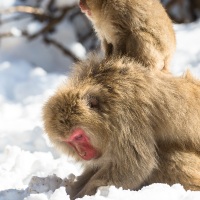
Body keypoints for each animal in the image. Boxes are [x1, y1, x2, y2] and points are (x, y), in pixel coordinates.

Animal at [43, 55, 200, 199]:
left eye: (79, 136)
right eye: (69, 141)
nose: (82, 153)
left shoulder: (125, 117)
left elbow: (134, 166)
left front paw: (82, 195)